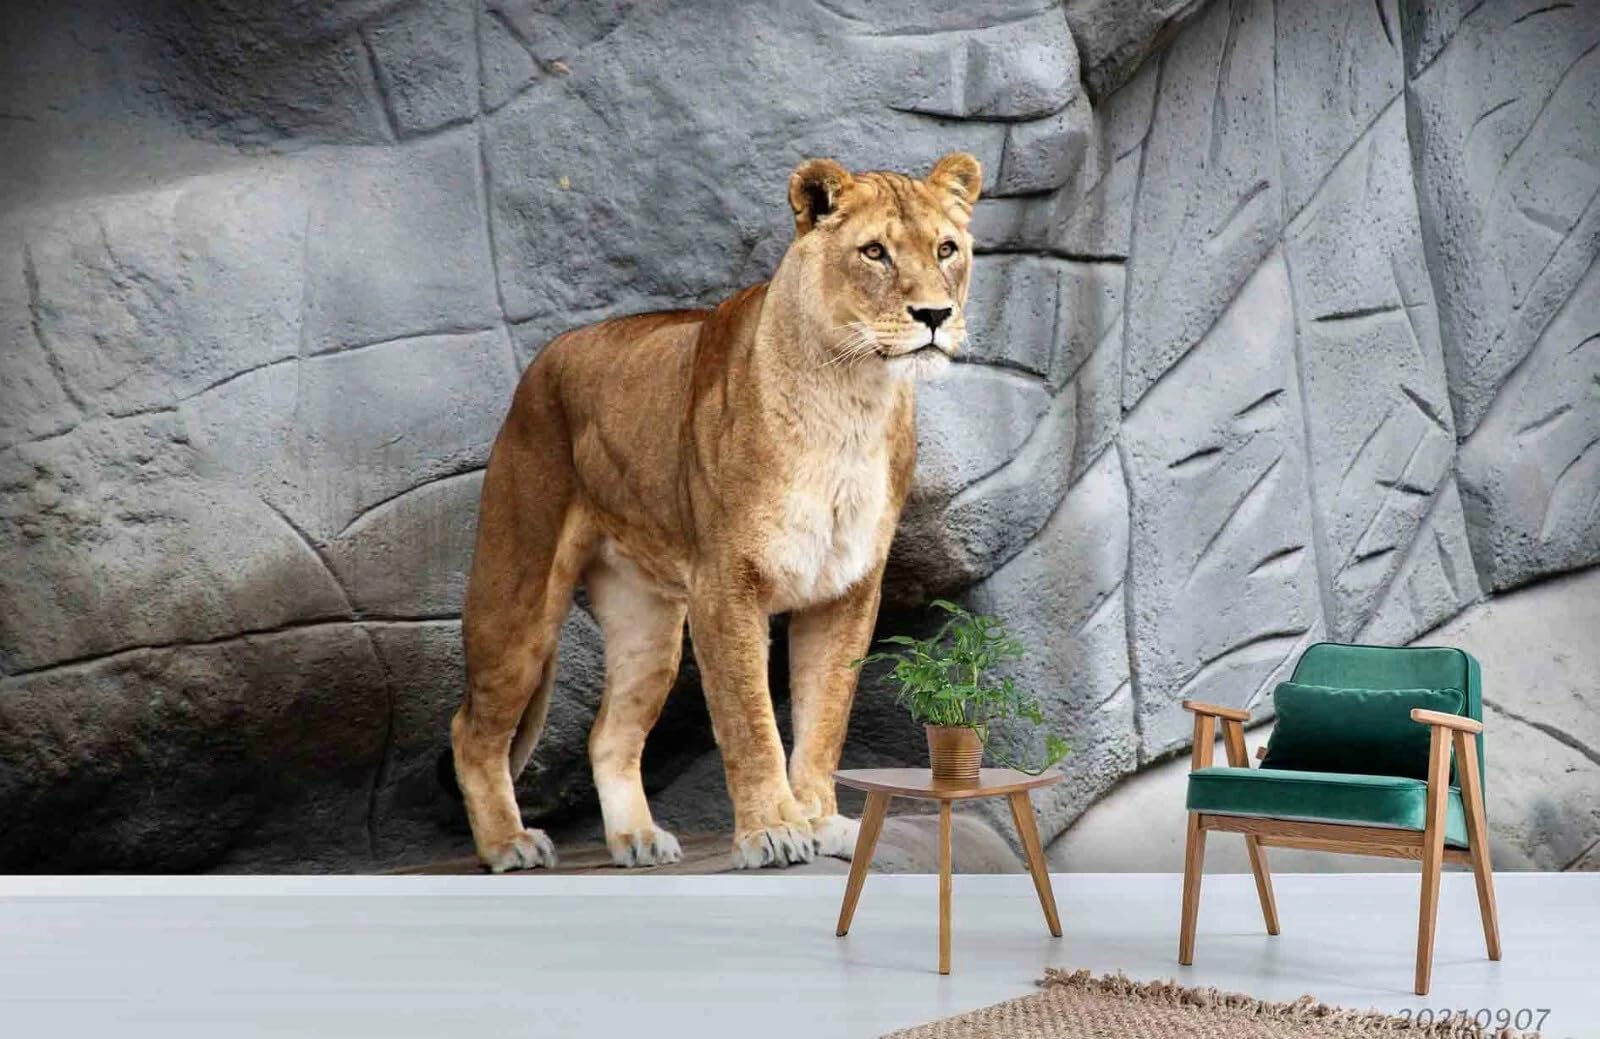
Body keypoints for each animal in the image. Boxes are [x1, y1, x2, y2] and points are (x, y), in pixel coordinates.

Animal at [450, 152, 983, 871]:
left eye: (946, 249)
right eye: (874, 252)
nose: (933, 314)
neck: (851, 401)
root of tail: (544, 360)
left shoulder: (846, 591)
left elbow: (825, 717)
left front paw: (821, 819)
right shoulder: (726, 585)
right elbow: (749, 719)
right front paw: (774, 830)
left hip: (647, 623)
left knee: (608, 733)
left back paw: (638, 838)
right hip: (519, 591)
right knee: (474, 728)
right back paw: (509, 842)